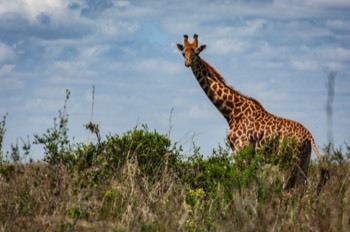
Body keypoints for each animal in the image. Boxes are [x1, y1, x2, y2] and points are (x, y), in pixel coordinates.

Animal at [178, 34, 328, 190]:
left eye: (196, 53)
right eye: (183, 53)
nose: (187, 63)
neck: (231, 112)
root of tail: (310, 136)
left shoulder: (241, 151)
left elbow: (243, 184)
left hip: (289, 160)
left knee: (288, 188)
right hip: (304, 160)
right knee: (301, 188)